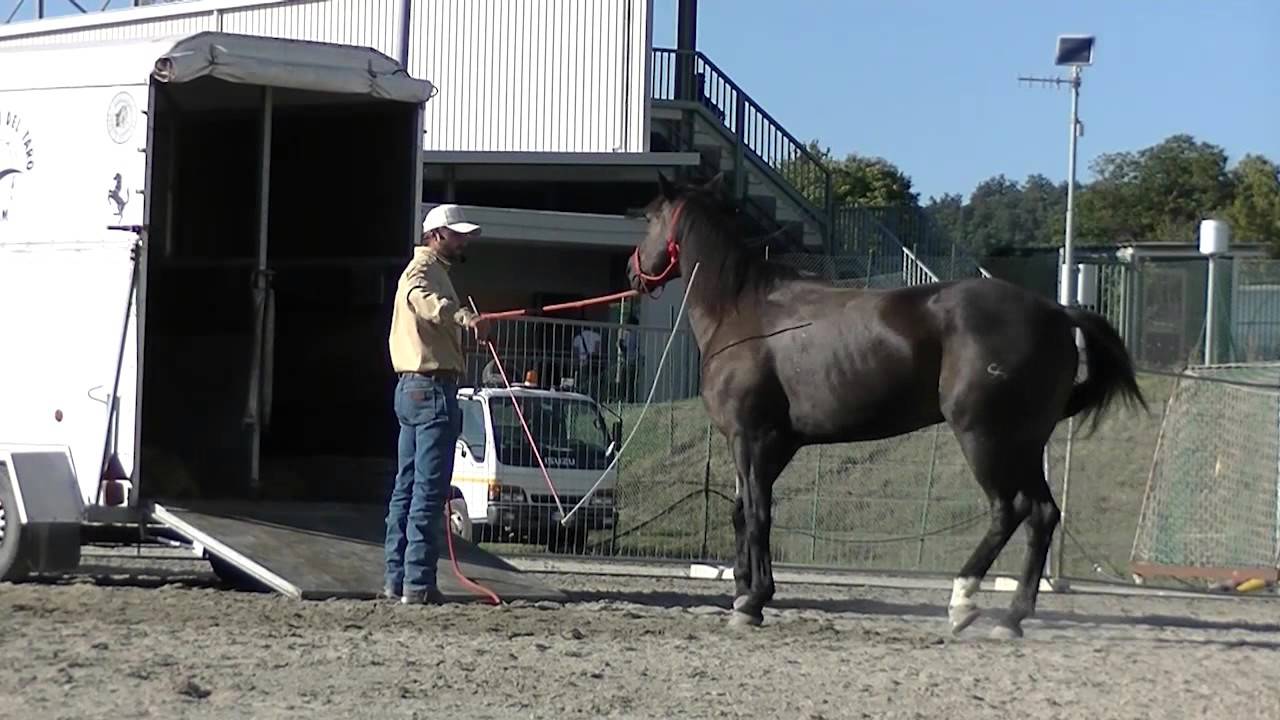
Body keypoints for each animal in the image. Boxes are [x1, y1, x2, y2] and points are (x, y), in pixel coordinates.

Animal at [624, 172, 1147, 639]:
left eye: (648, 216)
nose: (633, 270)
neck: (744, 311)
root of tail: (1057, 311)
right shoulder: (772, 444)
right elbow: (742, 513)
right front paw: (742, 594)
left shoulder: (752, 438)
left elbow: (757, 515)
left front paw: (753, 600)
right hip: (1024, 443)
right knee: (1042, 514)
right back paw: (1012, 617)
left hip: (985, 438)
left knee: (1009, 509)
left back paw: (963, 603)